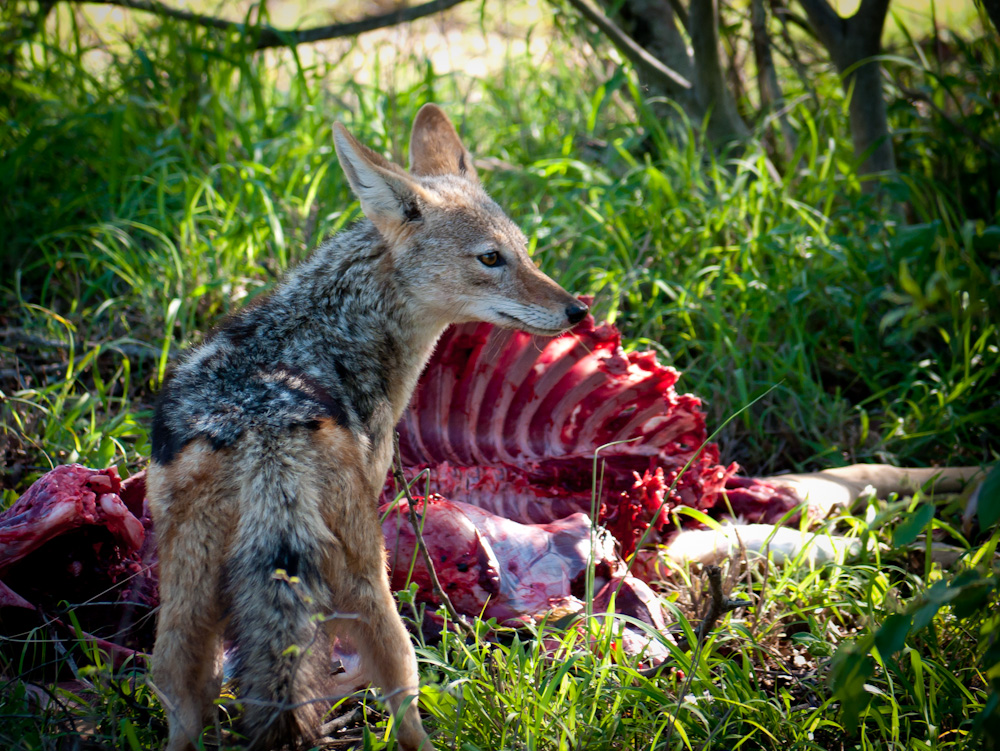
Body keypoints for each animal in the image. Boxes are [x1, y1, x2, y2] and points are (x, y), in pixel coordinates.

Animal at [147, 103, 588, 751]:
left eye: (526, 252)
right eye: (491, 259)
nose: (577, 311)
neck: (332, 327)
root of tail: (266, 440)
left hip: (179, 627)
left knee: (186, 714)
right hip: (373, 595)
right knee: (405, 709)